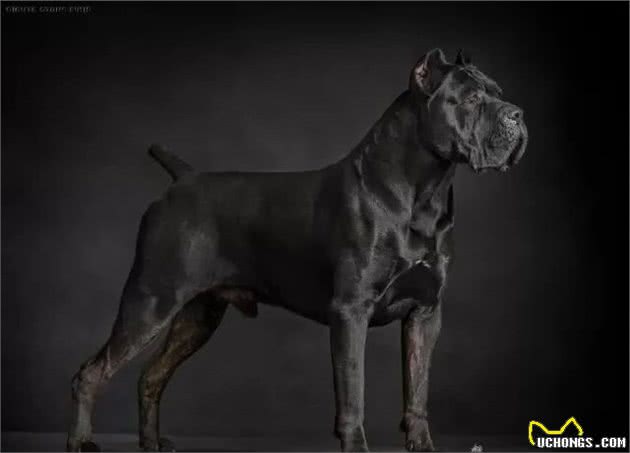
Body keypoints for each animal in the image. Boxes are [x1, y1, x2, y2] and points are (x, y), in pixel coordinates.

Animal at [67, 48, 527, 452]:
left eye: (499, 92)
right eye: (471, 98)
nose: (518, 114)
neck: (422, 191)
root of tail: (183, 179)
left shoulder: (425, 315)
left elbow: (417, 394)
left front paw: (423, 445)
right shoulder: (351, 312)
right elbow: (352, 397)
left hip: (196, 317)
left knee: (151, 376)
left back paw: (150, 442)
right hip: (150, 302)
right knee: (91, 373)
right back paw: (81, 441)